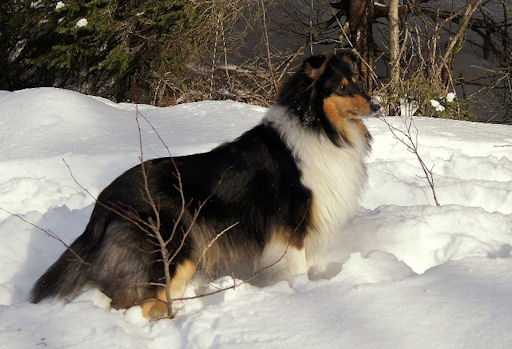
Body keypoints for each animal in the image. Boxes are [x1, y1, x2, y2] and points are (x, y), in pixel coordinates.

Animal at [29, 51, 380, 318]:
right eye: (343, 87)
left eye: (357, 82)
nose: (376, 106)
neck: (319, 127)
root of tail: (106, 198)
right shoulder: (290, 231)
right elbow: (296, 272)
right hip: (172, 252)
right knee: (142, 306)